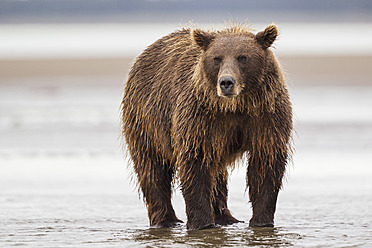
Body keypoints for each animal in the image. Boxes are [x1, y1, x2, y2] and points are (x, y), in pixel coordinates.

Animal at [122, 23, 294, 231]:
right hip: (146, 120)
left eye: (243, 57)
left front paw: (262, 221)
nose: (226, 82)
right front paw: (201, 223)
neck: (235, 107)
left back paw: (225, 217)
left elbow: (265, 164)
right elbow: (196, 164)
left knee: (217, 174)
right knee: (152, 169)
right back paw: (166, 220)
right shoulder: (199, 119)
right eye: (217, 58)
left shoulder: (266, 117)